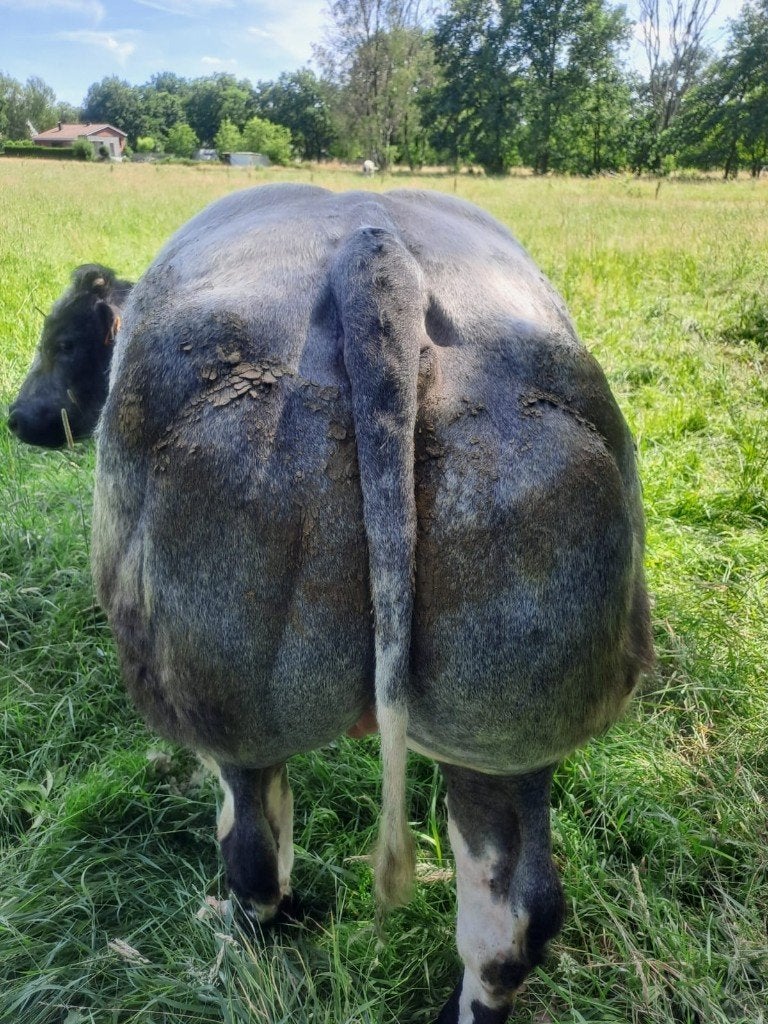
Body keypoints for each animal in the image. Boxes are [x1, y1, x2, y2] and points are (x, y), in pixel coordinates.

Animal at [91, 184, 653, 1024]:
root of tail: (374, 248)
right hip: (511, 722)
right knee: (516, 914)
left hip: (227, 701)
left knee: (254, 854)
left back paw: (239, 944)